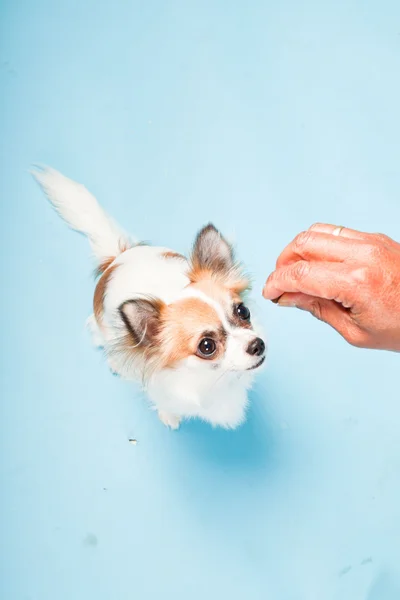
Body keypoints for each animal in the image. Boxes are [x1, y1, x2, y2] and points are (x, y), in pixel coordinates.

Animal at [32, 166, 266, 428]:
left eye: (243, 311)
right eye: (207, 346)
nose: (257, 344)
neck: (211, 377)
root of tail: (118, 257)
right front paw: (169, 416)